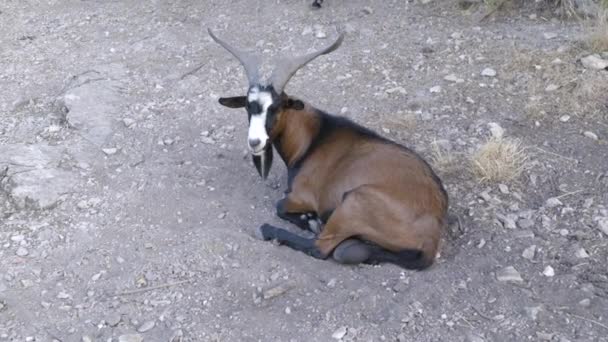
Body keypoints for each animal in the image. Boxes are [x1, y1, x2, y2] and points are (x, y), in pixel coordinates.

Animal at [209, 28, 446, 270]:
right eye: (248, 106)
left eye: (276, 107)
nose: (255, 142)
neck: (314, 135)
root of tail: (431, 237)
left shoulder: (302, 195)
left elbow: (280, 205)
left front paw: (310, 220)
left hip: (353, 202)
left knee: (320, 248)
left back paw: (272, 229)